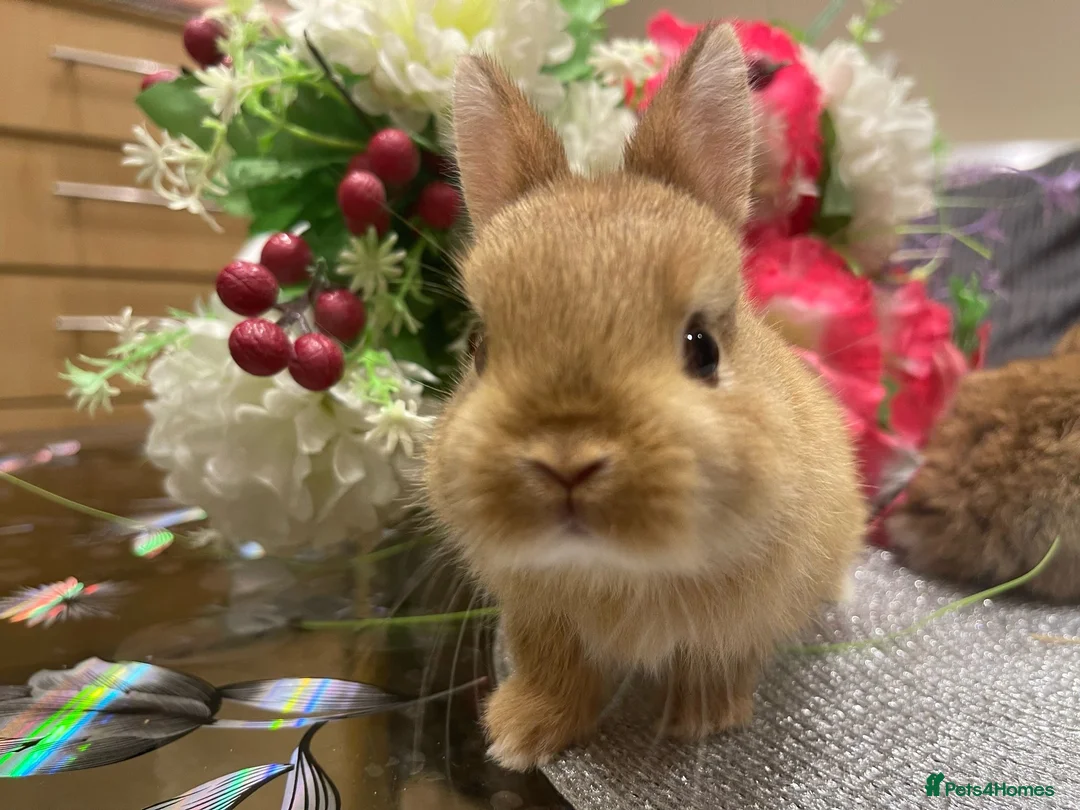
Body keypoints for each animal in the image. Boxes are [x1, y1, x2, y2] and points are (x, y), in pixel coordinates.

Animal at [423, 24, 867, 772]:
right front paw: (519, 734)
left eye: (702, 348)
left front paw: (702, 722)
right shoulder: (537, 613)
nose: (566, 461)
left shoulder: (740, 620)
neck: (617, 569)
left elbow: (715, 661)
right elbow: (555, 668)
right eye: (479, 347)